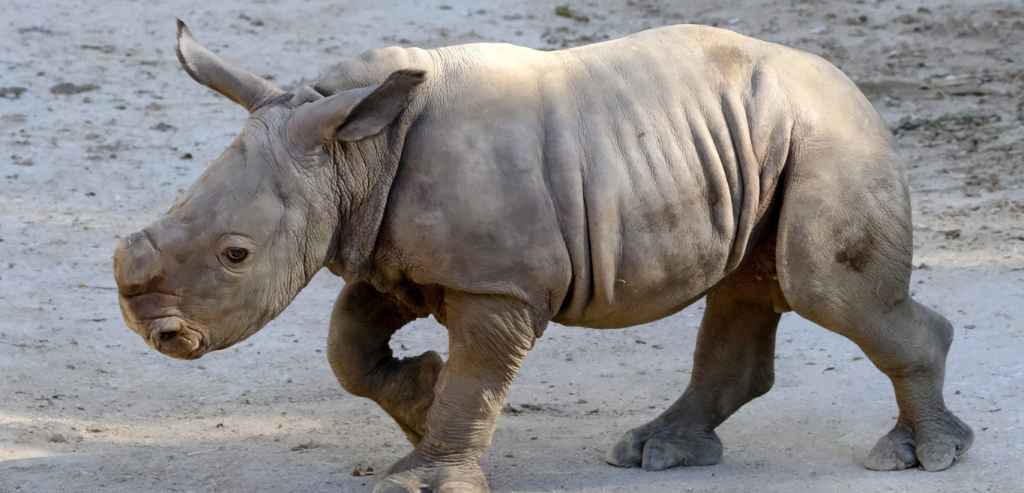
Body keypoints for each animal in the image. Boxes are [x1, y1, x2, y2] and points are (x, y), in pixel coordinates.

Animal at [113, 19, 974, 492]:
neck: (352, 152)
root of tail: (858, 90)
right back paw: (657, 453)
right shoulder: (393, 249)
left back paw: (924, 457)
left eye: (235, 254)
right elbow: (347, 345)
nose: (158, 333)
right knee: (749, 281)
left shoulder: (497, 285)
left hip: (830, 137)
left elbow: (475, 379)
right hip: (768, 141)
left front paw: (424, 473)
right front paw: (421, 398)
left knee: (825, 288)